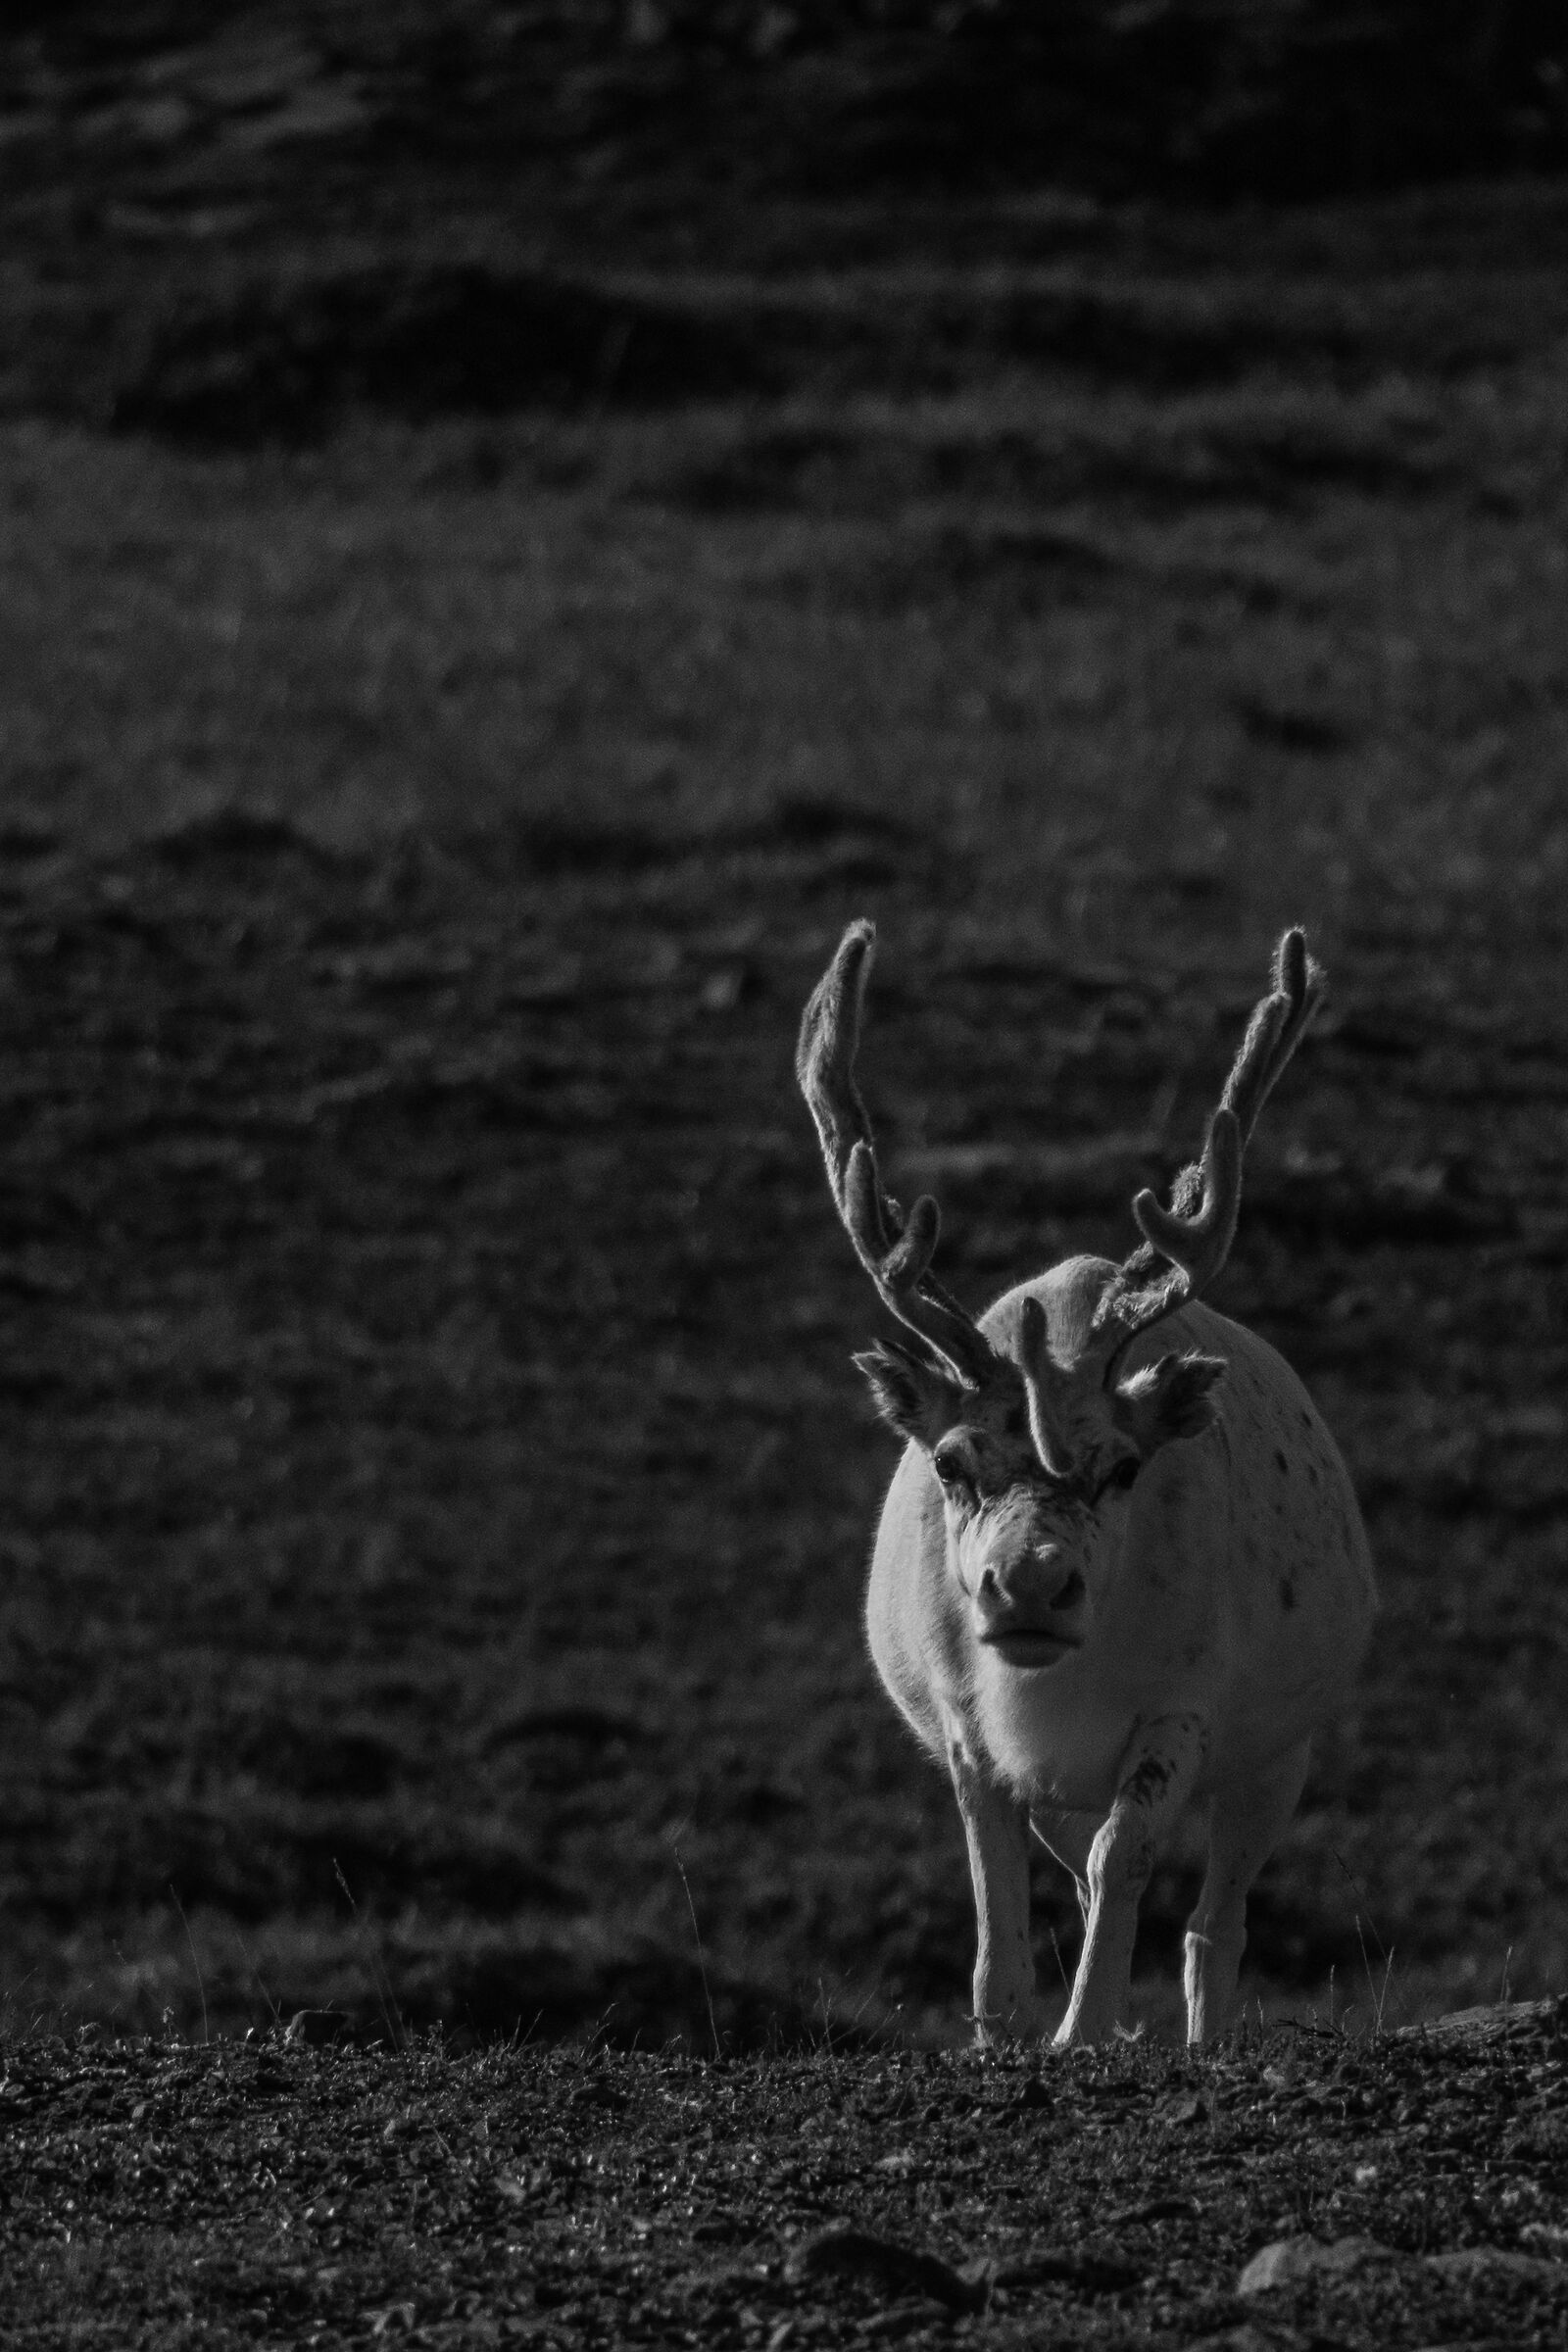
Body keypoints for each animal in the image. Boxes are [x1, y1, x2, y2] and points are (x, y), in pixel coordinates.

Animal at [797, 921, 1375, 2047]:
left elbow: (1128, 1859)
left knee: (1214, 1921)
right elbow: (997, 1906)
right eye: (950, 1462)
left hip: (1277, 1751)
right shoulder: (968, 1733)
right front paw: (1004, 2030)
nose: (1029, 1585)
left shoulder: (1186, 1712)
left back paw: (1199, 2035)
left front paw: (1085, 2027)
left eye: (1122, 1466)